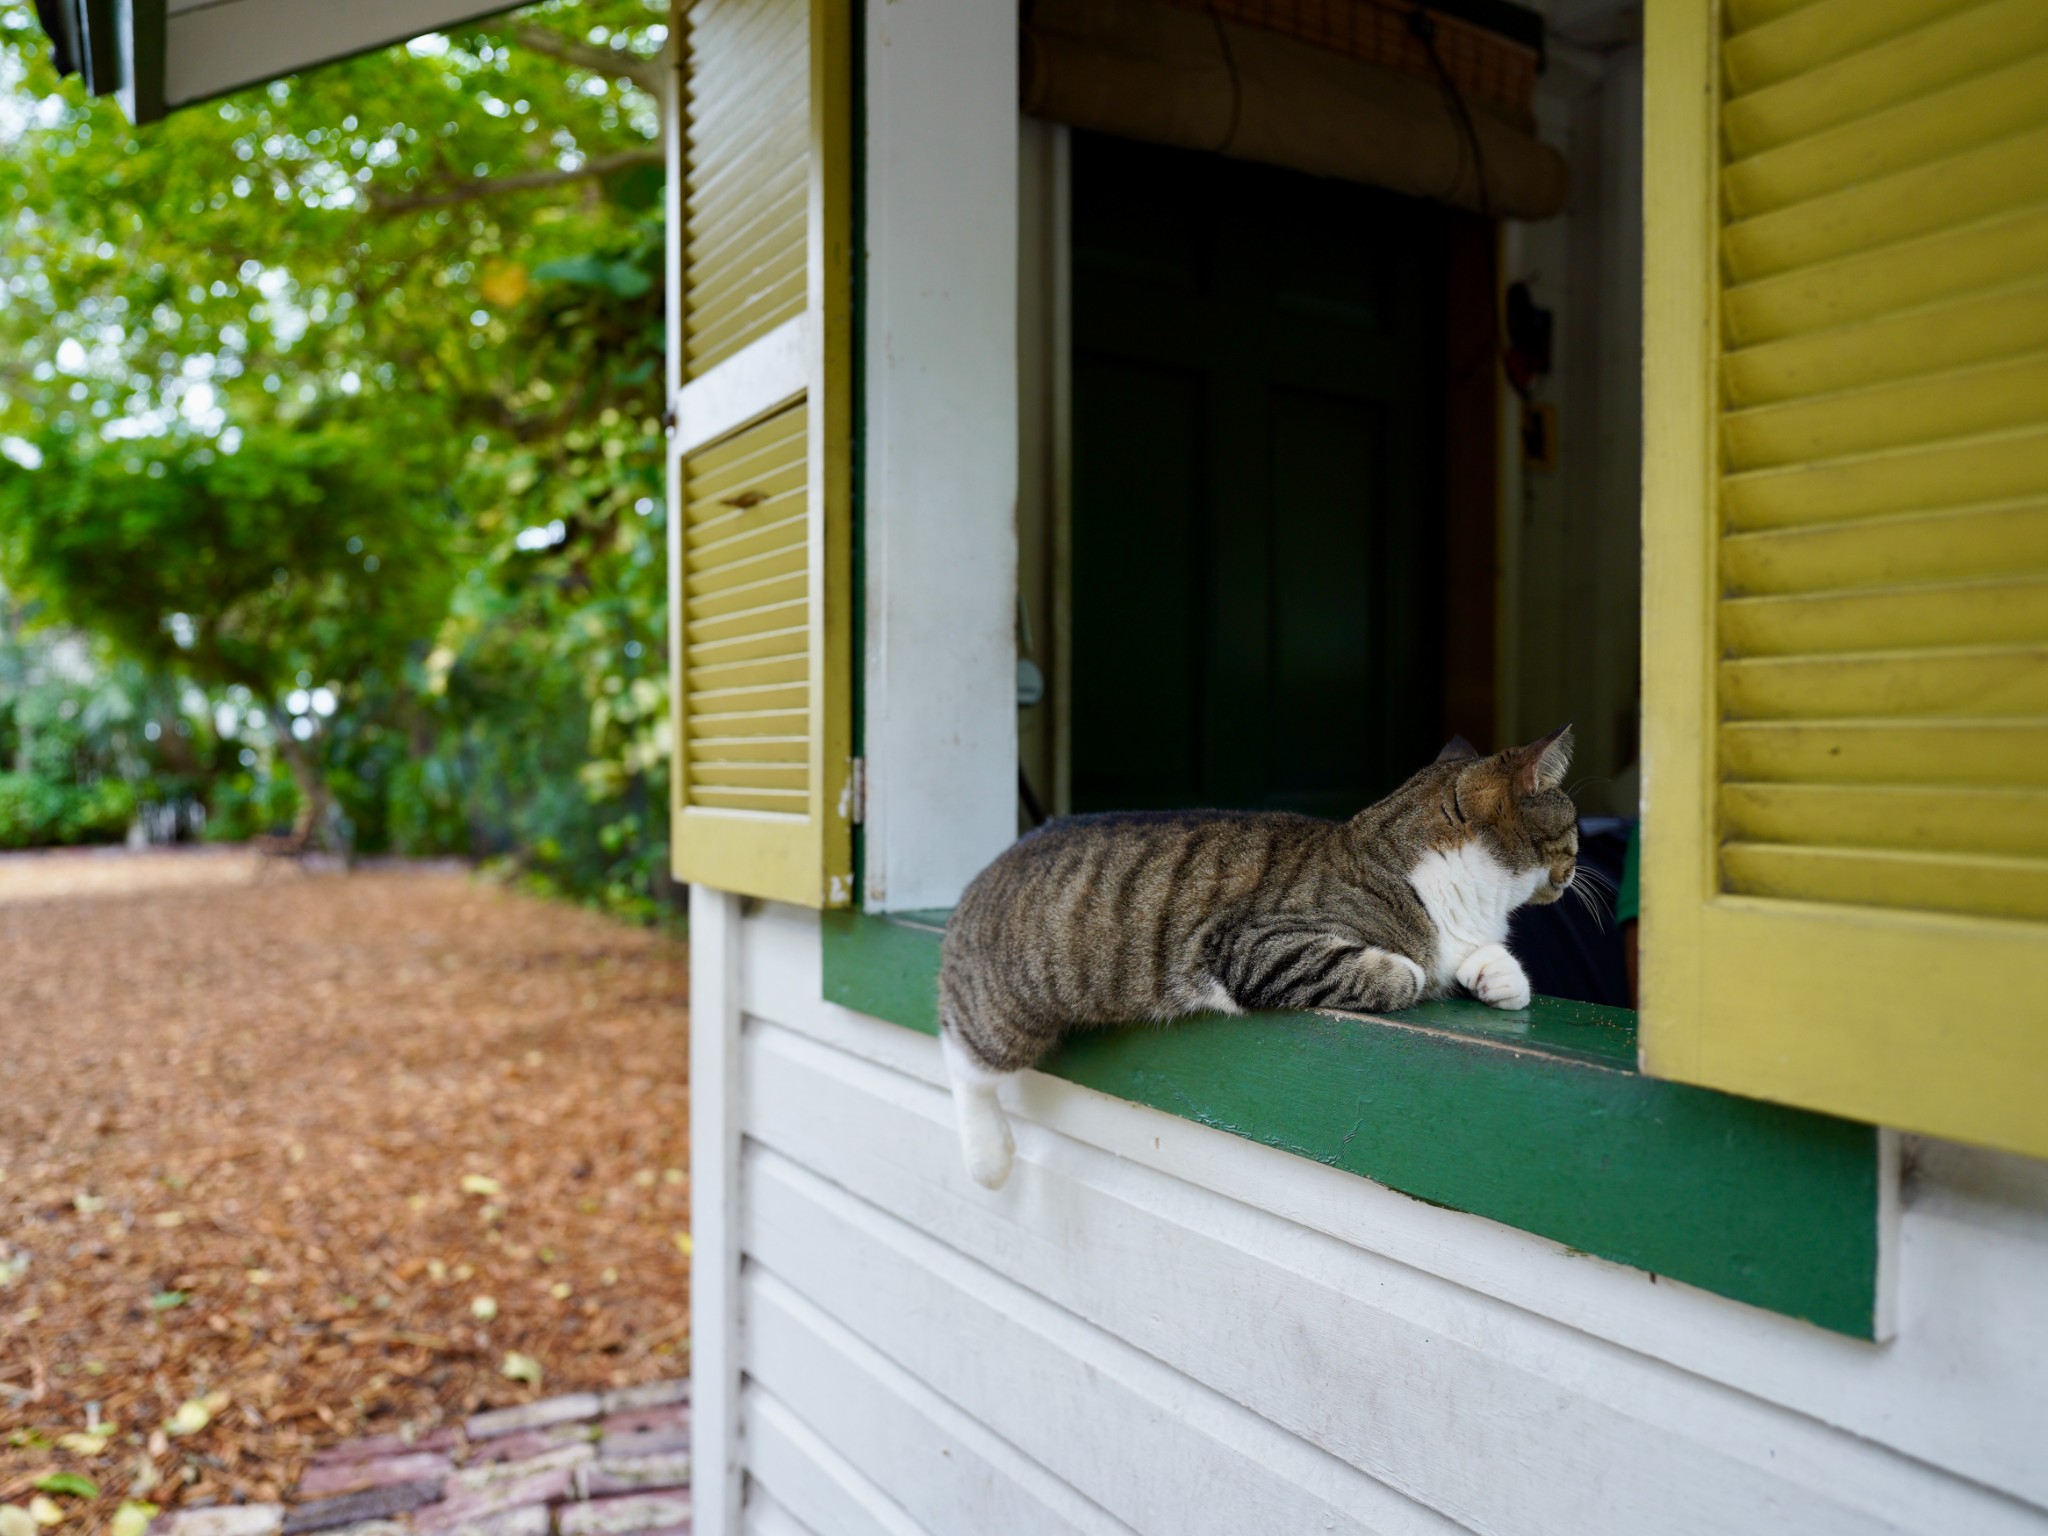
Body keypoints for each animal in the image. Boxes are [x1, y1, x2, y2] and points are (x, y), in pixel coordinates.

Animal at [937, 729, 1572, 1187]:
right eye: (1572, 831)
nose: (1573, 875)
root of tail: (987, 868)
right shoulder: (1254, 945)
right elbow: (1401, 975)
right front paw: (1415, 970)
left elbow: (1483, 962)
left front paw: (1500, 978)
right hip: (1005, 1014)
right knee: (962, 1059)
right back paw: (988, 1157)